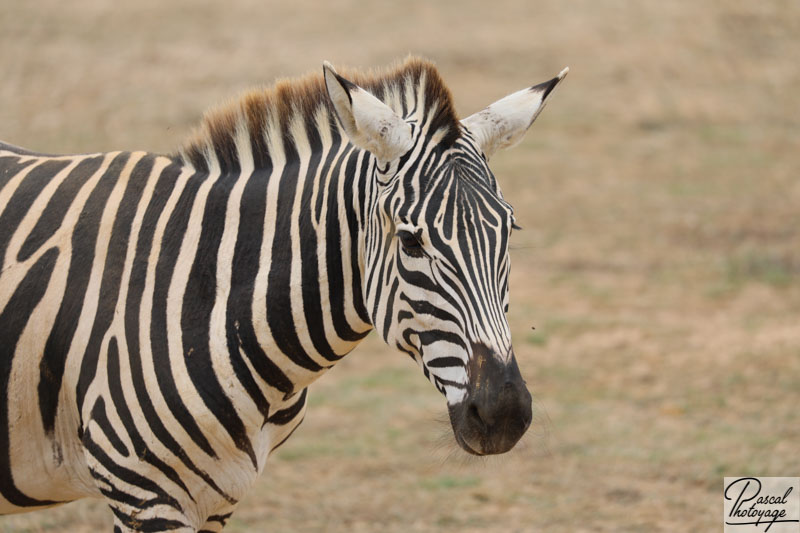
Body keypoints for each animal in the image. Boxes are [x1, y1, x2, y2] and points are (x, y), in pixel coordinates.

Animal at [0, 56, 564, 528]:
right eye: (410, 240)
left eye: (509, 231)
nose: (504, 415)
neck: (210, 298)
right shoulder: (142, 494)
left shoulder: (217, 496)